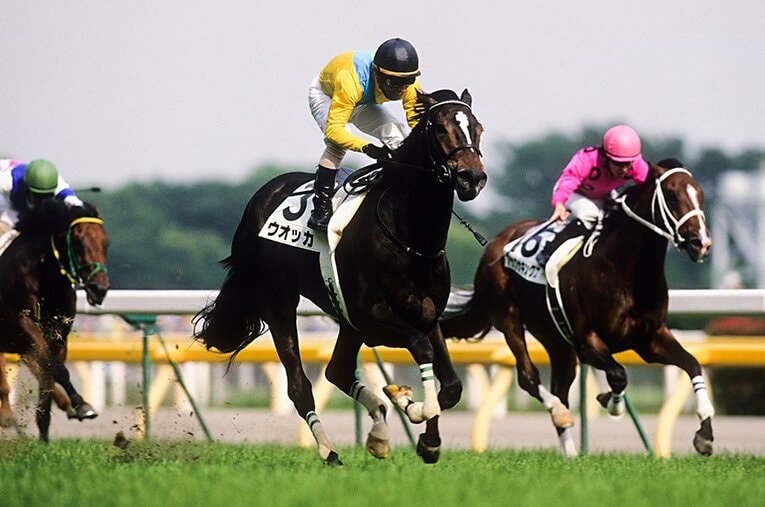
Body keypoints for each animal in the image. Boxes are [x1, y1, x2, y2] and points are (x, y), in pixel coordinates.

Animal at [0, 199, 110, 441]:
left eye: (106, 243)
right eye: (78, 242)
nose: (99, 288)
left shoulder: (58, 335)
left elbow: (49, 374)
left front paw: (45, 437)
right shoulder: (25, 323)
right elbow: (56, 369)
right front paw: (80, 404)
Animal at [194, 88, 486, 465]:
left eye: (477, 127)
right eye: (439, 128)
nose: (471, 177)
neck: (411, 239)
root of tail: (263, 195)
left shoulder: (427, 314)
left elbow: (451, 387)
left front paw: (427, 437)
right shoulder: (372, 316)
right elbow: (422, 350)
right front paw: (412, 406)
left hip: (344, 319)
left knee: (337, 369)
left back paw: (378, 433)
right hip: (279, 303)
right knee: (300, 386)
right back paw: (330, 451)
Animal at [440, 158, 715, 457]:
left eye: (700, 194)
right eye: (673, 195)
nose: (701, 243)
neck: (626, 270)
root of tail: (493, 244)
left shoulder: (650, 340)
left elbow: (693, 364)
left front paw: (705, 434)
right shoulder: (587, 342)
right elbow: (619, 374)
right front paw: (610, 402)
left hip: (556, 341)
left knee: (560, 385)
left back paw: (570, 452)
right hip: (508, 317)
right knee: (529, 377)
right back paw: (559, 414)